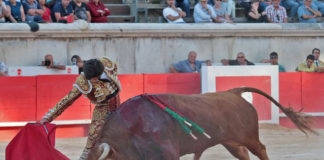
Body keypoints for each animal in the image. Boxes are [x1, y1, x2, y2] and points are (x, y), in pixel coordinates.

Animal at [87, 87, 316, 160]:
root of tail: (233, 92)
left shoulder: (168, 154)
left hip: (249, 137)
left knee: (261, 149)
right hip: (231, 142)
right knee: (243, 154)